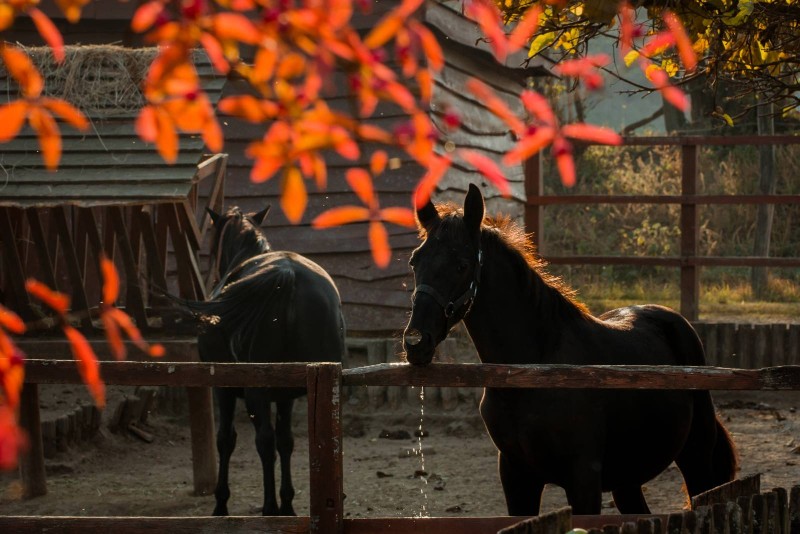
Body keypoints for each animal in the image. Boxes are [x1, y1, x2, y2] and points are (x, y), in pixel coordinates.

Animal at [185, 205, 346, 516]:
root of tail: (286, 274)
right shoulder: (285, 396)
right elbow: (286, 442)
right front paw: (288, 502)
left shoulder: (223, 390)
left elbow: (226, 440)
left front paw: (221, 503)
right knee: (286, 441)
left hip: (255, 393)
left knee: (264, 441)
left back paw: (269, 507)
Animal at [402, 184, 737, 516]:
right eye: (415, 261)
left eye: (462, 264)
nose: (416, 341)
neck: (532, 372)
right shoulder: (516, 476)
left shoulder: (583, 479)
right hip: (627, 478)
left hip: (695, 457)